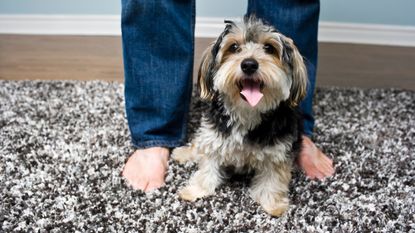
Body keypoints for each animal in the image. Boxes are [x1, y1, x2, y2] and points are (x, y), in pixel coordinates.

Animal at [171, 15, 308, 217]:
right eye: (234, 47)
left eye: (269, 48)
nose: (249, 64)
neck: (247, 113)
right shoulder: (214, 138)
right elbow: (207, 168)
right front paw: (195, 191)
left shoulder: (278, 153)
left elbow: (273, 180)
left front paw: (272, 204)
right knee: (199, 144)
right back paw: (183, 152)